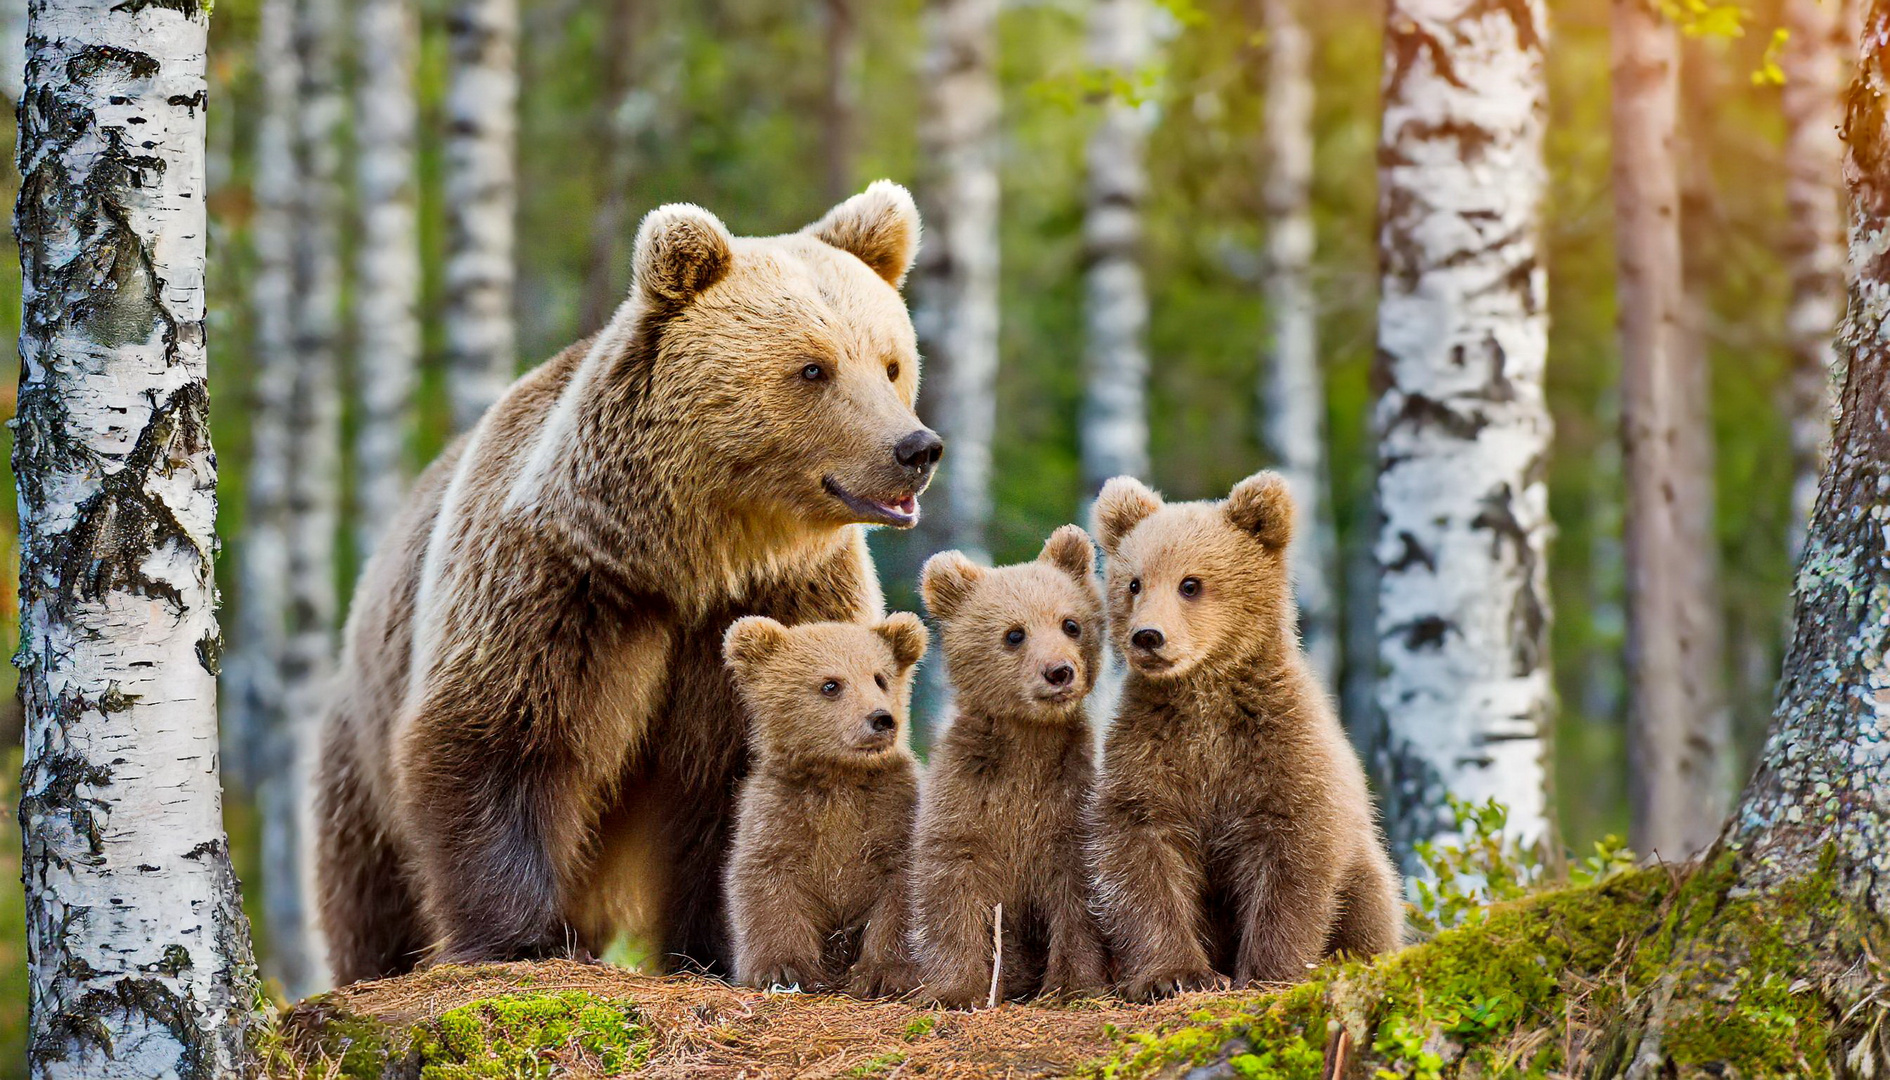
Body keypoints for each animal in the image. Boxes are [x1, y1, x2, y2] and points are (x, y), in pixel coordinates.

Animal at [313, 181, 941, 983]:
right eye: (813, 368)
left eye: (891, 363)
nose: (916, 447)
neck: (694, 555)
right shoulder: (563, 585)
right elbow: (503, 739)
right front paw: (523, 939)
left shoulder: (777, 599)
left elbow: (735, 783)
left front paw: (715, 948)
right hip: (358, 741)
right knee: (370, 882)